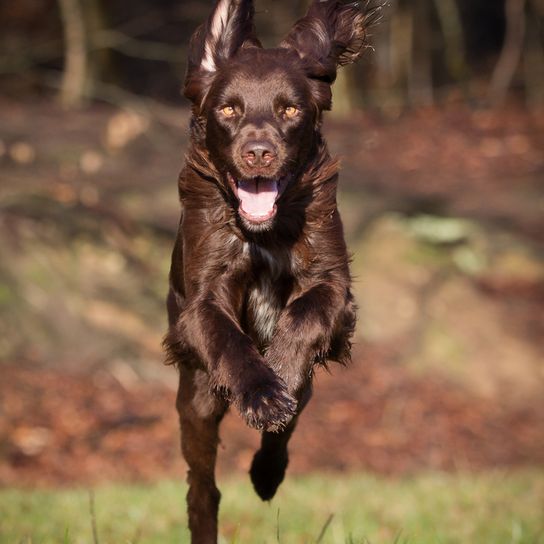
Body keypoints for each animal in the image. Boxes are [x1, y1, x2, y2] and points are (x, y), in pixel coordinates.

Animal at [166, 2, 376, 540]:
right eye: (228, 110)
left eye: (289, 110)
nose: (258, 152)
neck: (263, 230)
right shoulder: (202, 300)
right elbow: (229, 340)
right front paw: (262, 393)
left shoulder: (332, 284)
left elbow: (303, 315)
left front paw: (278, 371)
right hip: (198, 395)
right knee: (201, 484)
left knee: (292, 418)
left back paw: (267, 473)